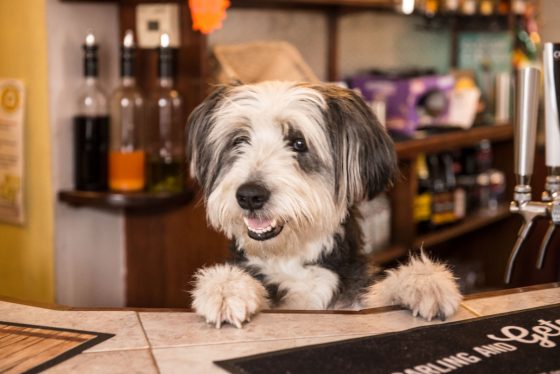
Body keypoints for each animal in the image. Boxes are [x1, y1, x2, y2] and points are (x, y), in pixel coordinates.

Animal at [186, 81, 462, 328]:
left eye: (299, 143)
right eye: (239, 140)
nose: (249, 196)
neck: (293, 260)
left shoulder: (354, 299)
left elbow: (379, 295)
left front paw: (424, 282)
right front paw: (225, 288)